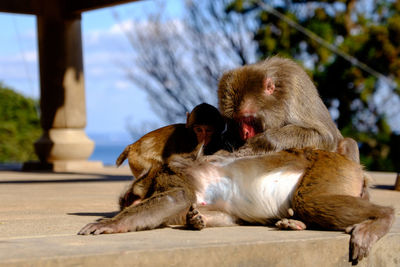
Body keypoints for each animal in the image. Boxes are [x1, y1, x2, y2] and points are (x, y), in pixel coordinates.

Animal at [78, 148, 394, 264]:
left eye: (129, 201)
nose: (126, 203)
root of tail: (357, 168)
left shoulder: (171, 176)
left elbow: (176, 197)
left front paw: (111, 223)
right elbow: (223, 216)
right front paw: (196, 221)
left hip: (329, 167)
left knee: (308, 200)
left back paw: (382, 218)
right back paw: (293, 222)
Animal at [217, 57, 346, 155]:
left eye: (247, 118)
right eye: (236, 121)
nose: (244, 133)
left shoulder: (295, 92)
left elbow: (326, 137)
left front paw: (263, 141)